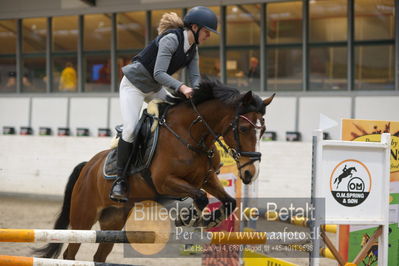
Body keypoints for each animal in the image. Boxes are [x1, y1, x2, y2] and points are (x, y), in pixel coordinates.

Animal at [34, 79, 276, 262]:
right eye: (243, 128)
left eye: (263, 129)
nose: (250, 173)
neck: (191, 135)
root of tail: (87, 166)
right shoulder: (164, 181)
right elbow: (199, 197)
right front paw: (190, 219)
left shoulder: (207, 178)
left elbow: (228, 201)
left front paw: (209, 220)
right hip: (83, 219)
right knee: (70, 253)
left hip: (112, 221)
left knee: (99, 256)